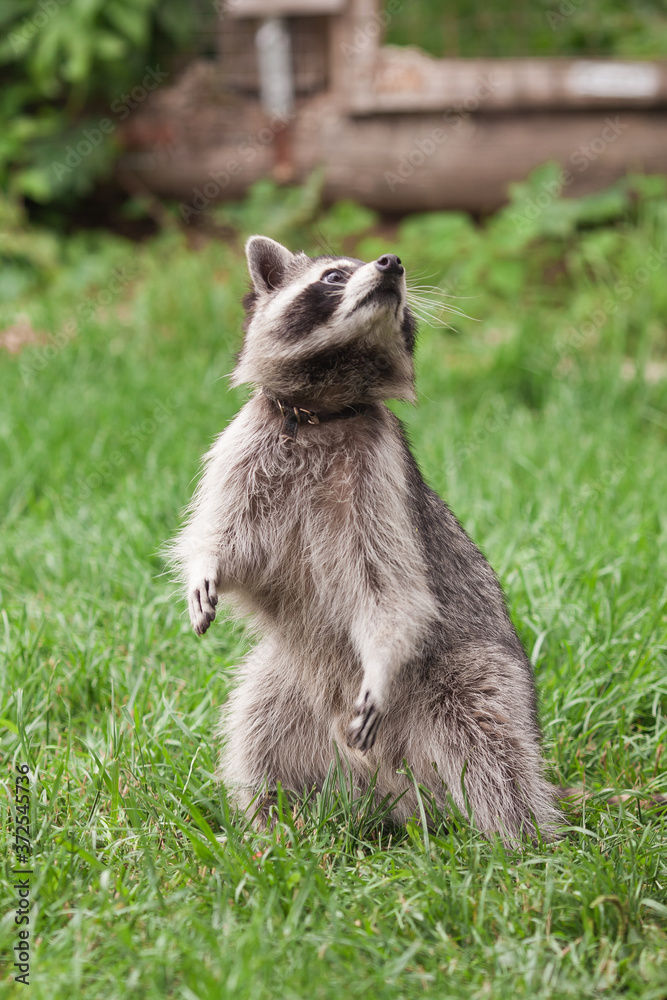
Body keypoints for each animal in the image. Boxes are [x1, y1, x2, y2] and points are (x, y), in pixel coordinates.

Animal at [170, 235, 560, 841]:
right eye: (333, 275)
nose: (392, 263)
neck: (322, 408)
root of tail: (391, 792)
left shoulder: (380, 477)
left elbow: (391, 590)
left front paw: (380, 660)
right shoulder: (247, 447)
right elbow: (230, 539)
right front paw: (204, 565)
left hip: (470, 672)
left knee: (491, 744)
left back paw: (519, 840)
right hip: (288, 681)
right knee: (255, 726)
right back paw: (269, 819)